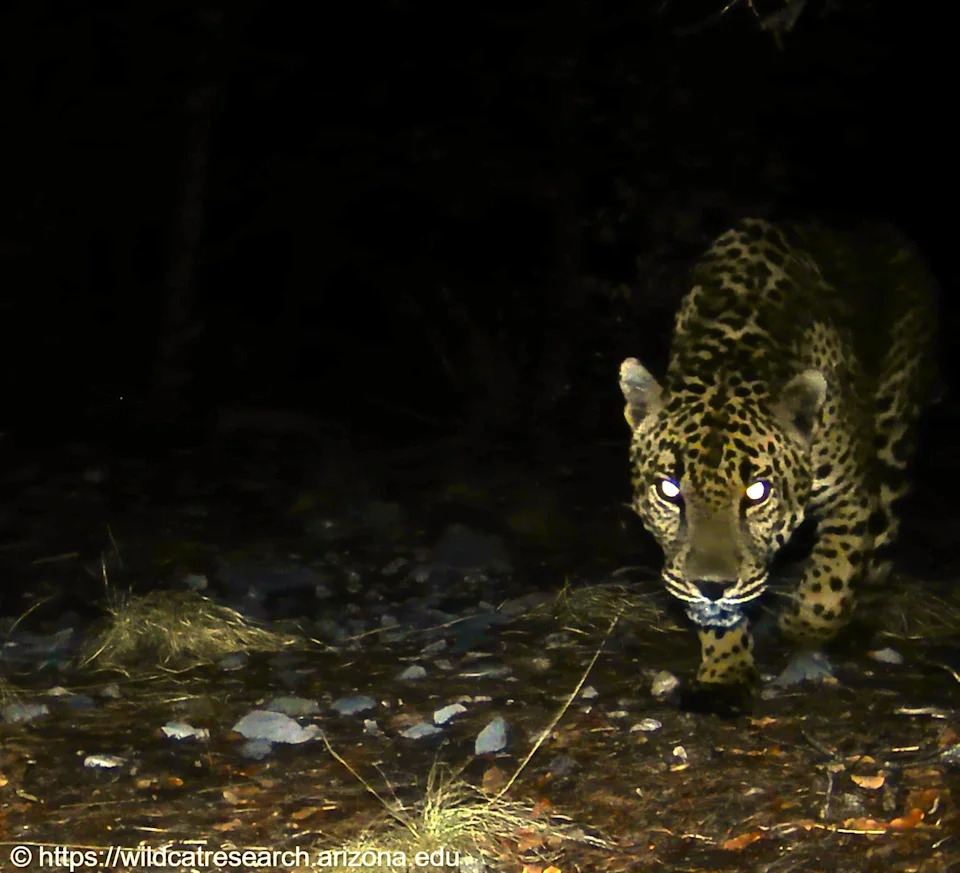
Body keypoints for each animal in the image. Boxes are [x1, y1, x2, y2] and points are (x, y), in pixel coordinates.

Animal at [618, 218, 937, 689]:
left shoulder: (851, 496)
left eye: (757, 493)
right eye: (669, 490)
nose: (711, 586)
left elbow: (834, 575)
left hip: (895, 428)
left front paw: (804, 628)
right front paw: (726, 668)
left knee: (883, 535)